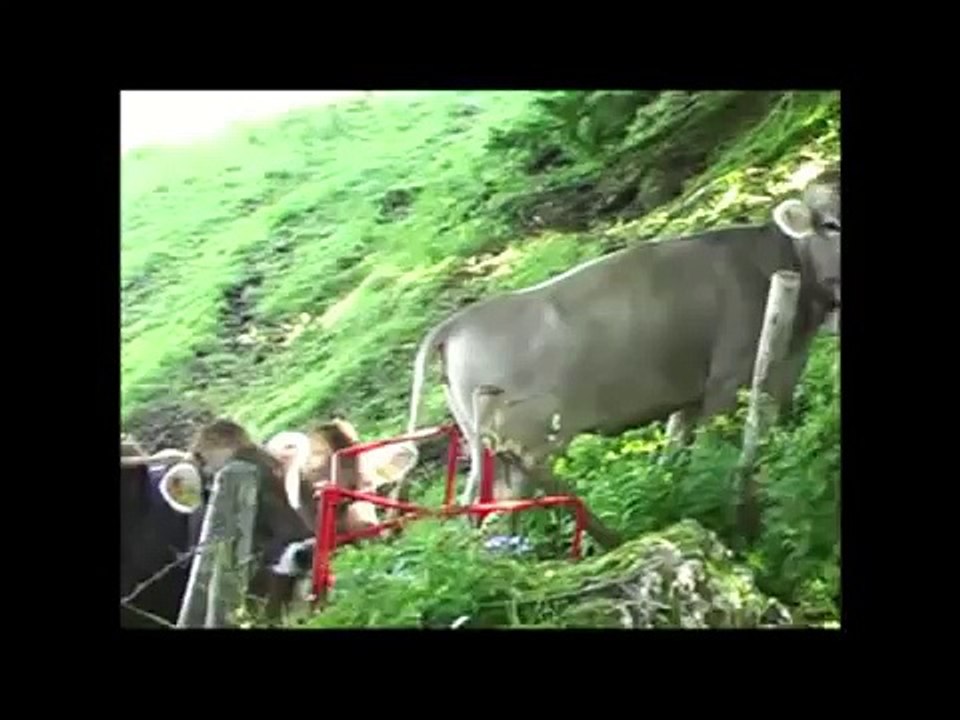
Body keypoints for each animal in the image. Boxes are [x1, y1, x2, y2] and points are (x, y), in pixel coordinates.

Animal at [394, 169, 841, 550]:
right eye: (831, 224)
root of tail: (457, 321)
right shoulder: (730, 381)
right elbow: (721, 454)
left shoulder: (690, 395)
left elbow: (677, 453)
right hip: (523, 446)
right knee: (500, 510)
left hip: (481, 445)